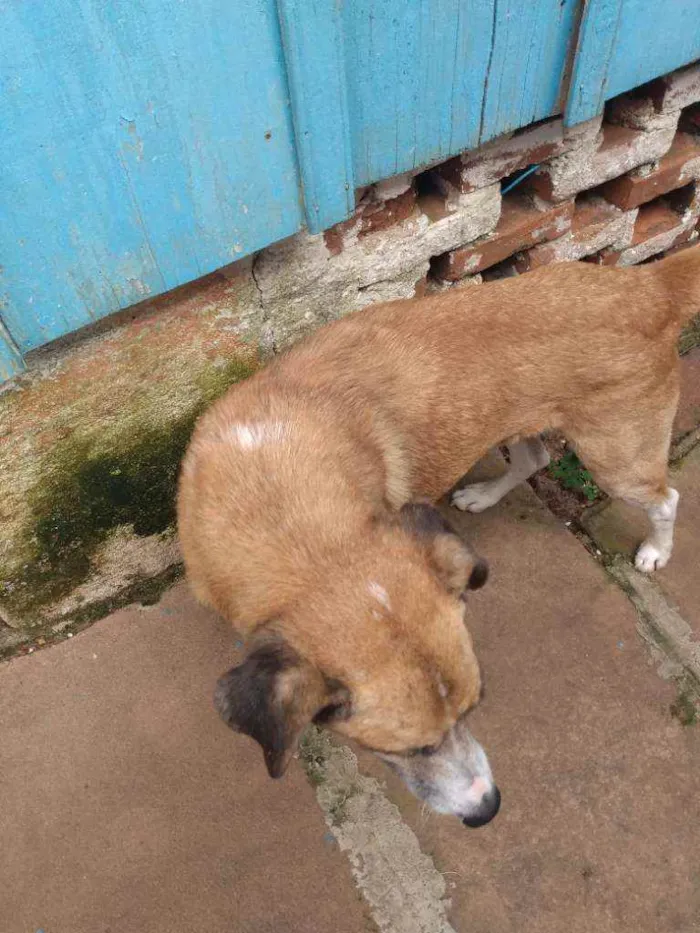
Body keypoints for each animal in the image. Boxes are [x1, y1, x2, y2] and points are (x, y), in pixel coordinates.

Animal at [176, 244, 700, 828]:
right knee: (536, 458)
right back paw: (484, 495)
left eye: (474, 709)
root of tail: (650, 285)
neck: (277, 499)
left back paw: (656, 552)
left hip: (617, 461)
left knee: (667, 498)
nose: (488, 810)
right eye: (409, 749)